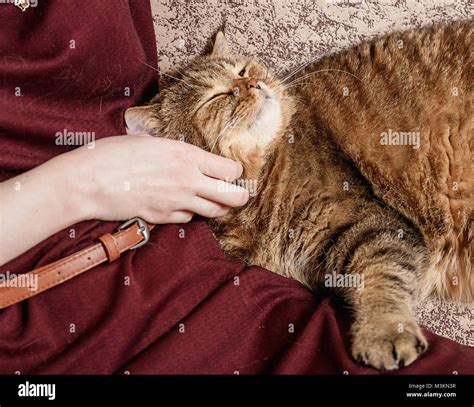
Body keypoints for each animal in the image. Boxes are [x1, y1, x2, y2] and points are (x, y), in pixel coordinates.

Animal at [124, 21, 472, 372]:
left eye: (242, 70)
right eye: (216, 96)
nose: (253, 82)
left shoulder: (371, 222)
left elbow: (378, 275)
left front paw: (384, 330)